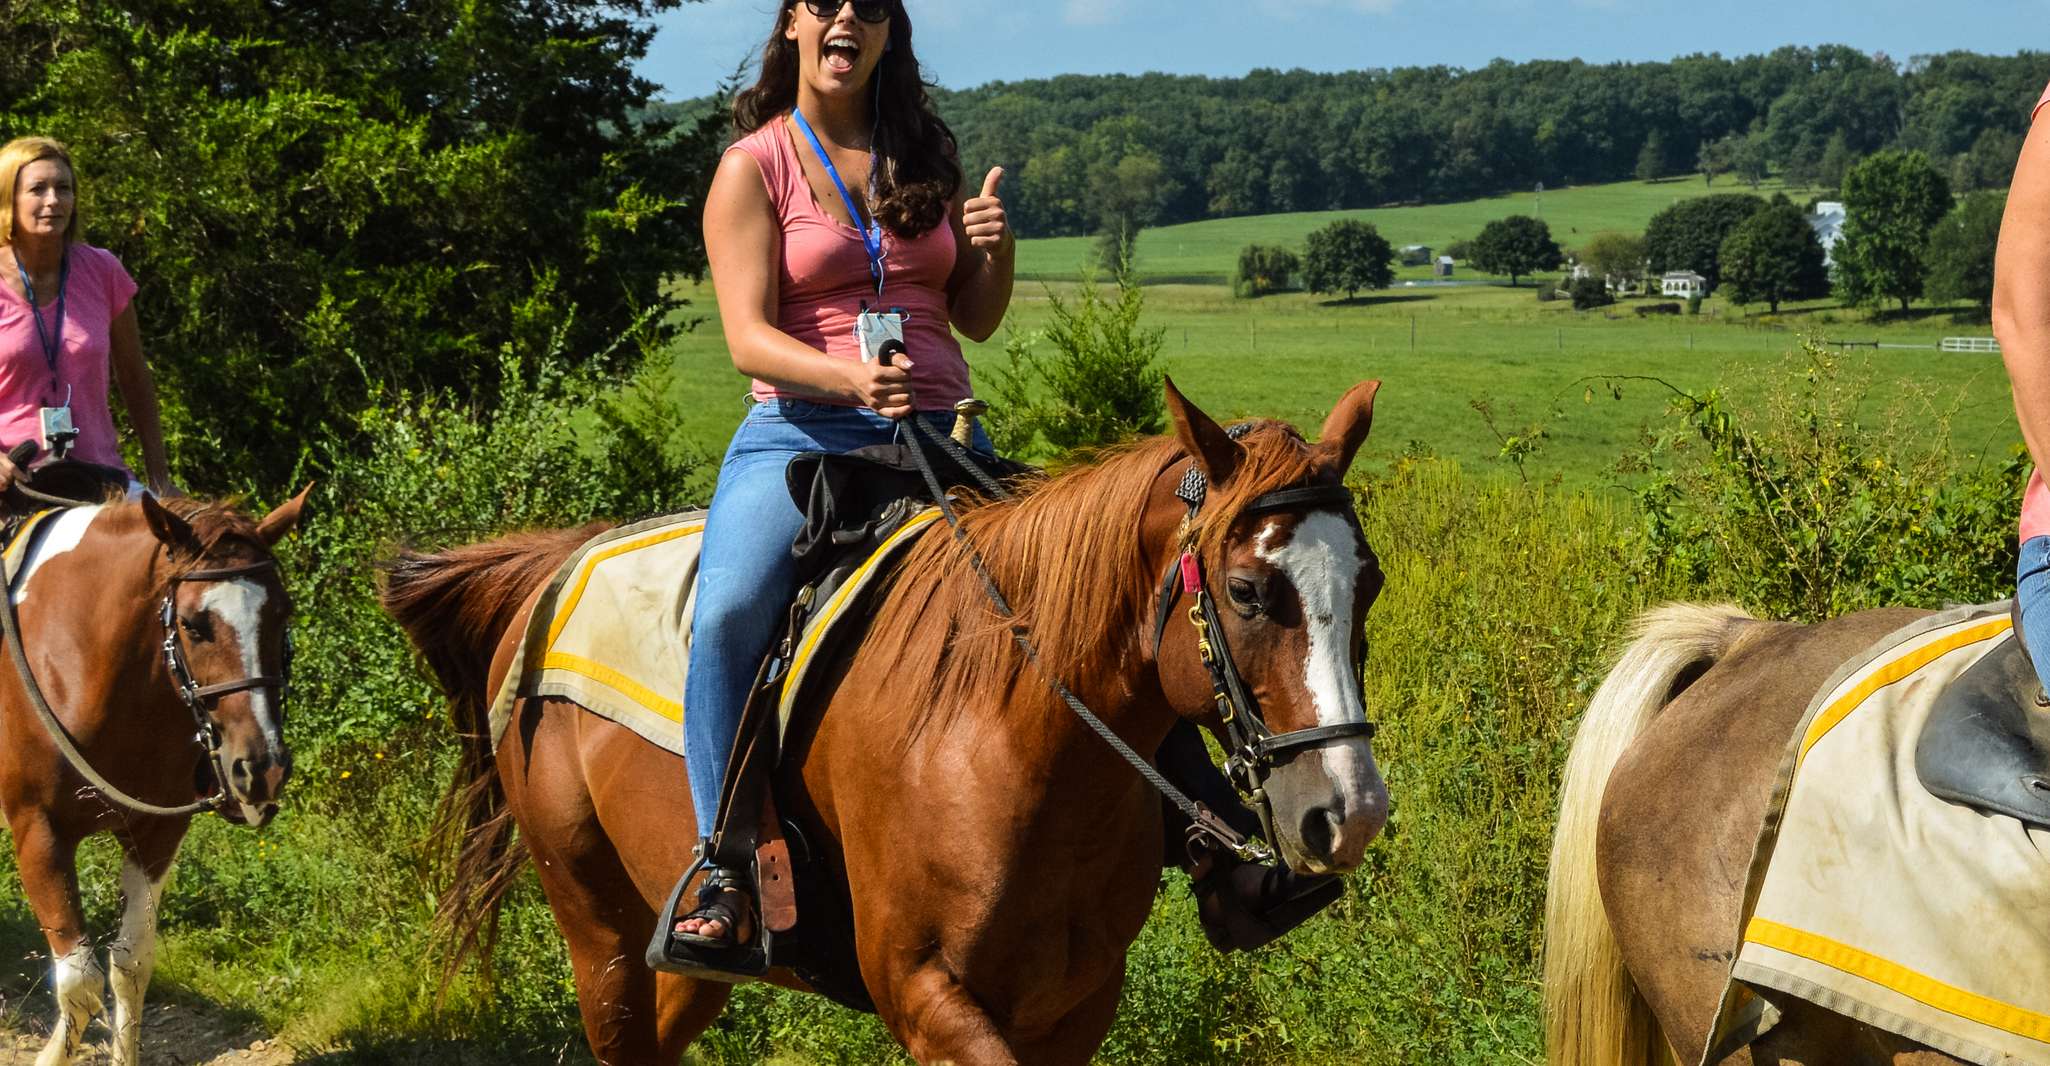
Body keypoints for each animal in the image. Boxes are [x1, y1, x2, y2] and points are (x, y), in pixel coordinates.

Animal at [0, 492, 305, 1066]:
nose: (262, 768)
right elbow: (79, 983)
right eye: (193, 624)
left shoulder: (157, 832)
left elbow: (130, 964)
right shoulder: (38, 830)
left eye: (283, 613)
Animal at [381, 379, 1394, 1057]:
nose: (1349, 813)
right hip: (600, 940)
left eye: (1370, 584)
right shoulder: (925, 995)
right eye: (1247, 591)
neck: (1011, 741)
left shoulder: (1075, 1004)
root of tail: (555, 568)